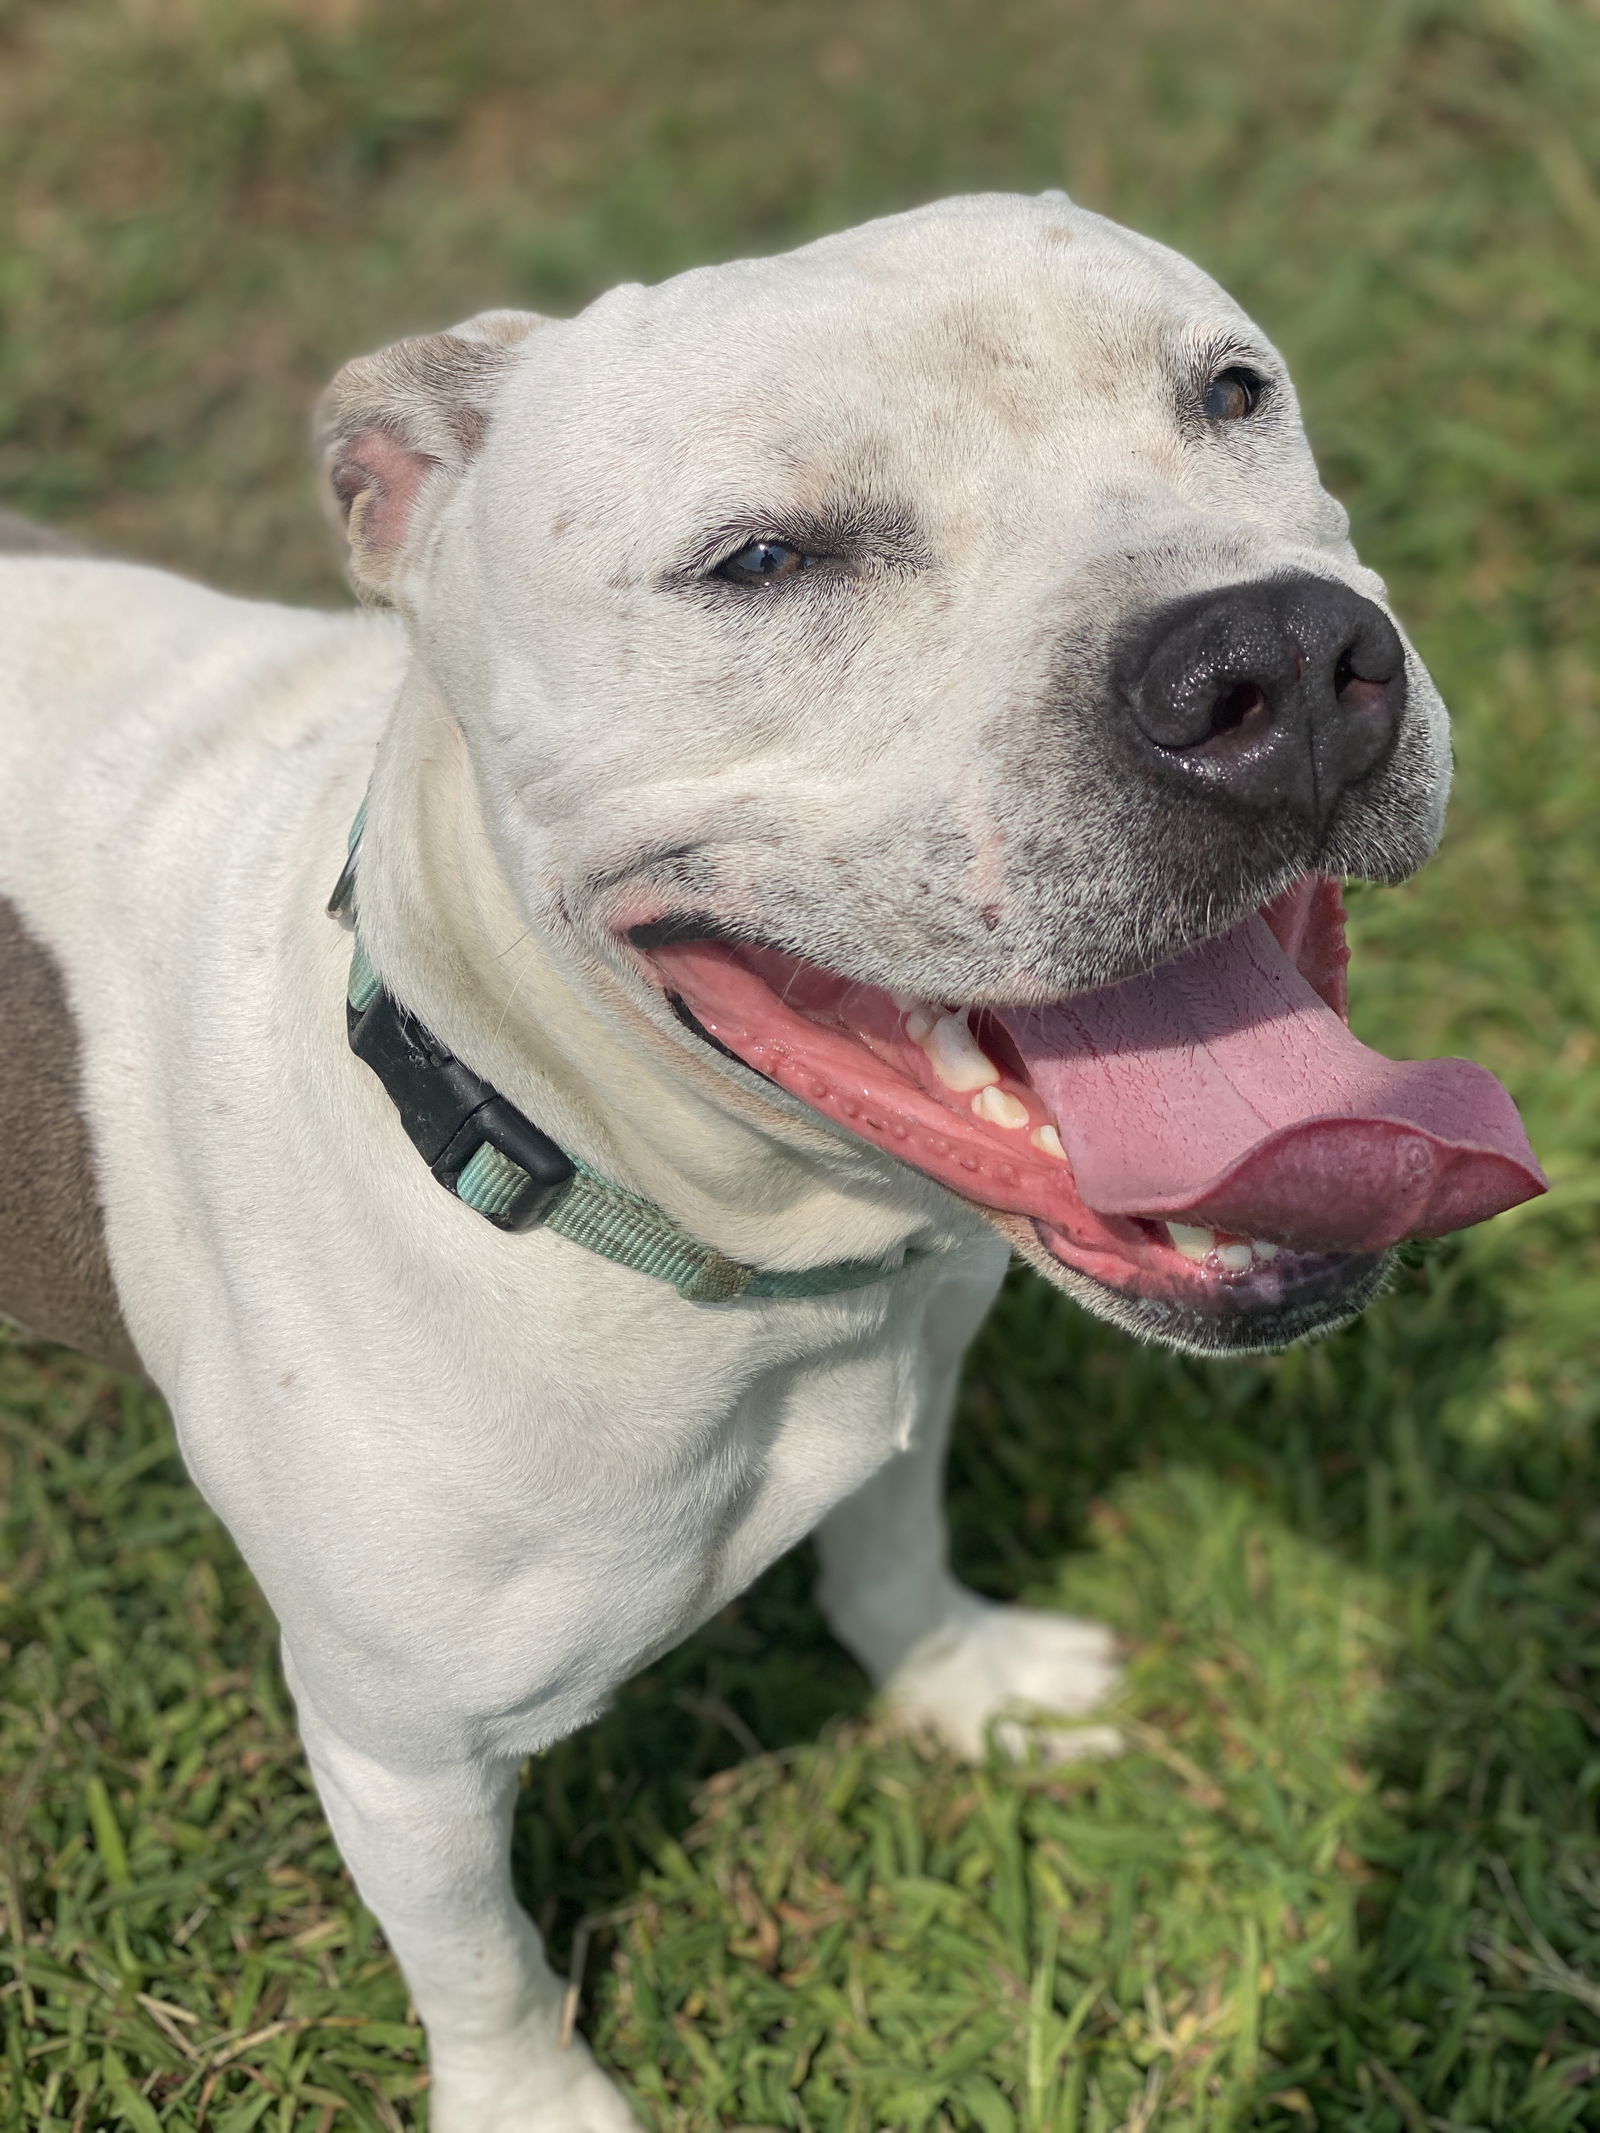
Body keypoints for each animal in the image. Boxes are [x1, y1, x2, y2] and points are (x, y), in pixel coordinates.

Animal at [3, 196, 1553, 2115]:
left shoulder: (910, 1386)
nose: (1274, 655)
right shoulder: (400, 1756)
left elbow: (891, 1555)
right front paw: (534, 2100)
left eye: (1232, 392)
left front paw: (965, 1684)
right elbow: (481, 1966)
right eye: (758, 560)